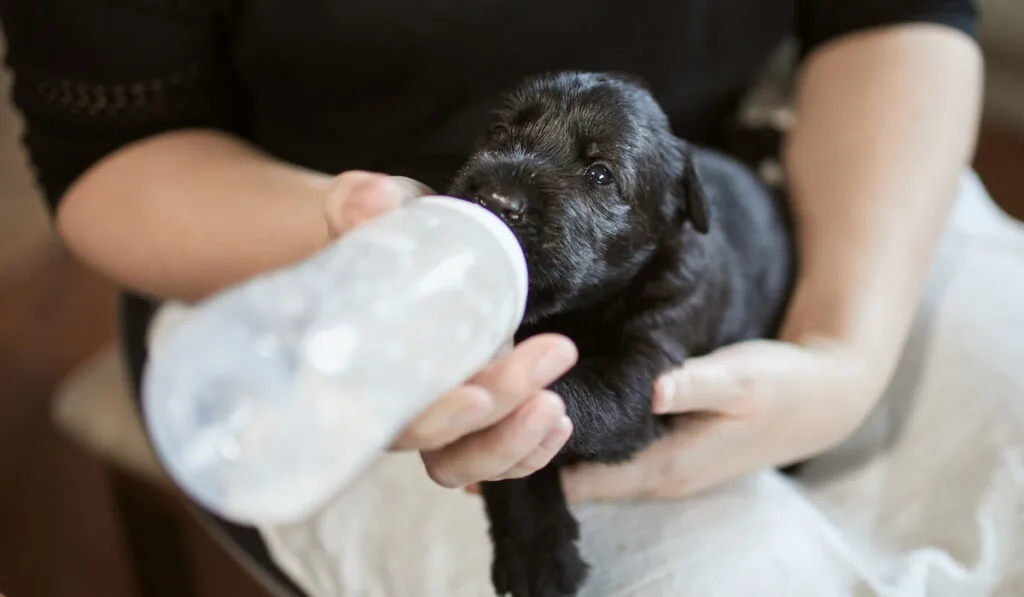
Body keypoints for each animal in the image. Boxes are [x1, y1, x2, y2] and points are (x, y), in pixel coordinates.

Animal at [446, 71, 790, 597]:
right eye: (500, 132)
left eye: (601, 174)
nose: (496, 200)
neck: (583, 309)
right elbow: (519, 470)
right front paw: (535, 552)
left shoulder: (644, 364)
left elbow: (569, 397)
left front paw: (538, 560)